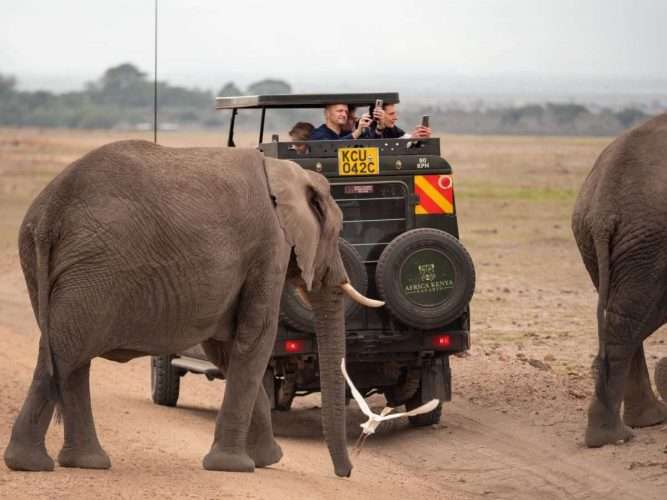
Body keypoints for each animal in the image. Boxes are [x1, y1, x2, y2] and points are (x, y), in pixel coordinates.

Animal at [3, 140, 381, 477]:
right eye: (337, 231)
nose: (346, 473)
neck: (284, 171)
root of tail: (50, 212)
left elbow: (227, 350)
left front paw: (268, 459)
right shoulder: (269, 247)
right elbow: (255, 340)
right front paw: (237, 466)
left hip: (44, 262)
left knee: (67, 357)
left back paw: (84, 463)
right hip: (94, 271)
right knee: (67, 352)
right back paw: (31, 464)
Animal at [571, 113, 667, 447]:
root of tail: (602, 213)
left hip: (601, 240)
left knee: (624, 316)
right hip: (649, 239)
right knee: (629, 319)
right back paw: (614, 435)